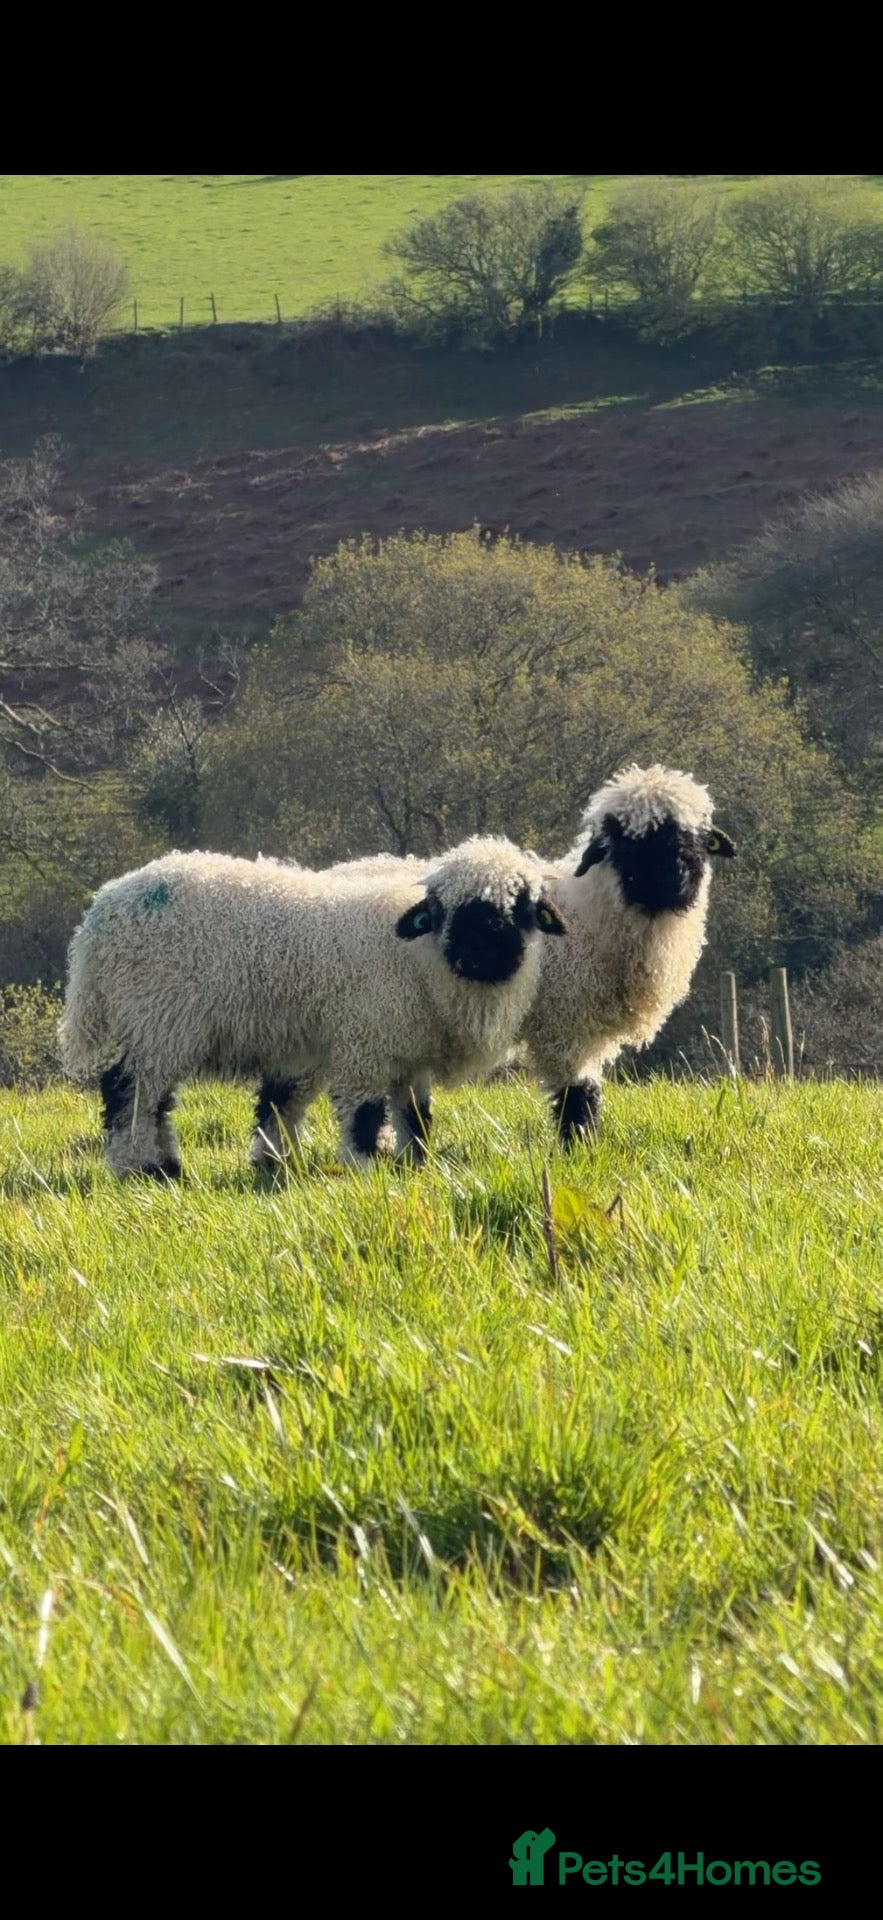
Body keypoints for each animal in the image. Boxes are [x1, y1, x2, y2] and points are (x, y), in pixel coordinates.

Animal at [59, 838, 567, 1180]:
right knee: (128, 1091)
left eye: (522, 907)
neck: (421, 960)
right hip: (156, 1018)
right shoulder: (365, 1042)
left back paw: (165, 1165)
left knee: (156, 1098)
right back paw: (139, 1167)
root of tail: (98, 918)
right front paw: (365, 1169)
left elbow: (417, 1116)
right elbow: (364, 1114)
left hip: (162, 1027)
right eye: (448, 911)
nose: (479, 957)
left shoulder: (408, 1049)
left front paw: (414, 1165)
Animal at [305, 764, 736, 1152]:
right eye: (627, 840)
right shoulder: (566, 1028)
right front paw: (579, 1152)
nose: (674, 877)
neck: (593, 916)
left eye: (697, 837)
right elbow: (577, 1098)